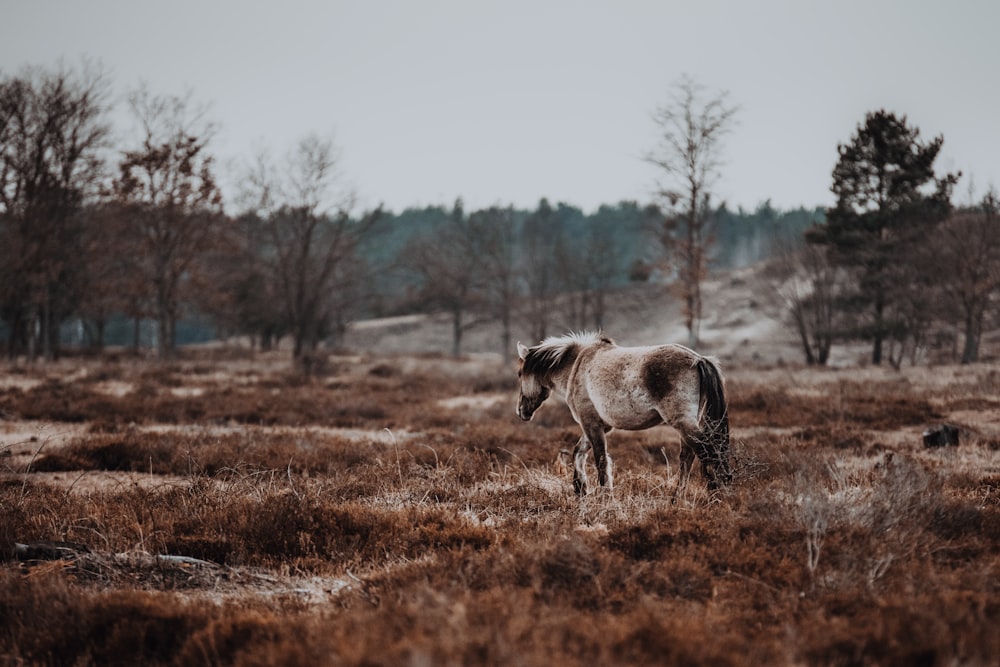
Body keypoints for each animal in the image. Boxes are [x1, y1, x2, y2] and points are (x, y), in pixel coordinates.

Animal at [516, 332, 728, 498]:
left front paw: (604, 497)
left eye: (519, 374)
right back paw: (677, 500)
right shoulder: (599, 425)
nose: (521, 411)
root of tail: (698, 359)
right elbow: (579, 452)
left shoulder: (591, 424)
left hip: (683, 423)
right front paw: (581, 489)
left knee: (708, 454)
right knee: (687, 458)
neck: (576, 367)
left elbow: (601, 460)